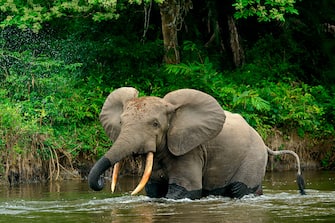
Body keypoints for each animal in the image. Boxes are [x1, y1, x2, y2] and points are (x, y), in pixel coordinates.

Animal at [87, 87, 308, 199]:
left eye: (155, 124)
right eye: (121, 123)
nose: (102, 182)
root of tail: (265, 142)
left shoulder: (191, 150)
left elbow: (183, 191)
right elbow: (155, 191)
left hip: (253, 158)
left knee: (239, 189)